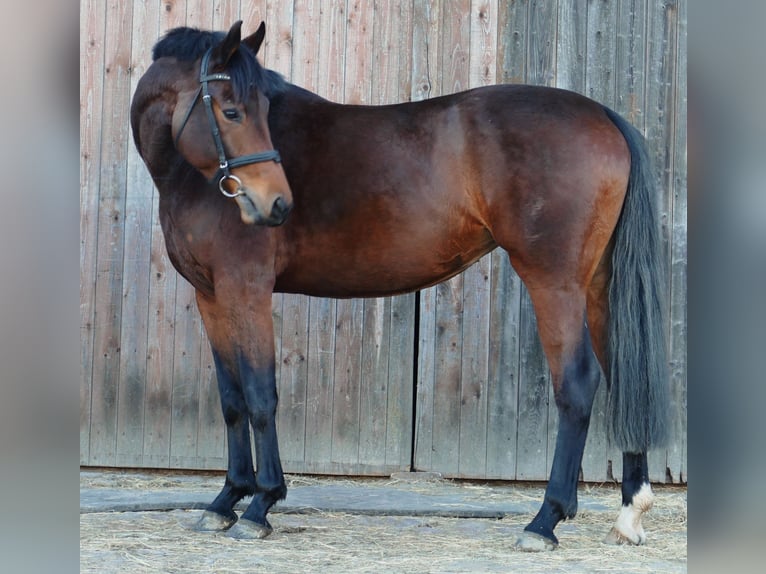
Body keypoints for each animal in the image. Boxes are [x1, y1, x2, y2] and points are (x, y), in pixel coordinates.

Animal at [130, 21, 670, 550]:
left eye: (258, 109)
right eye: (232, 110)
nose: (276, 204)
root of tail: (602, 114)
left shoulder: (246, 290)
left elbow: (261, 398)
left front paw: (261, 505)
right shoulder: (211, 296)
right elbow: (231, 399)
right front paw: (225, 501)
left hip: (554, 282)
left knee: (577, 383)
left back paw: (544, 521)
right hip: (596, 285)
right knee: (620, 373)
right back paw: (629, 514)